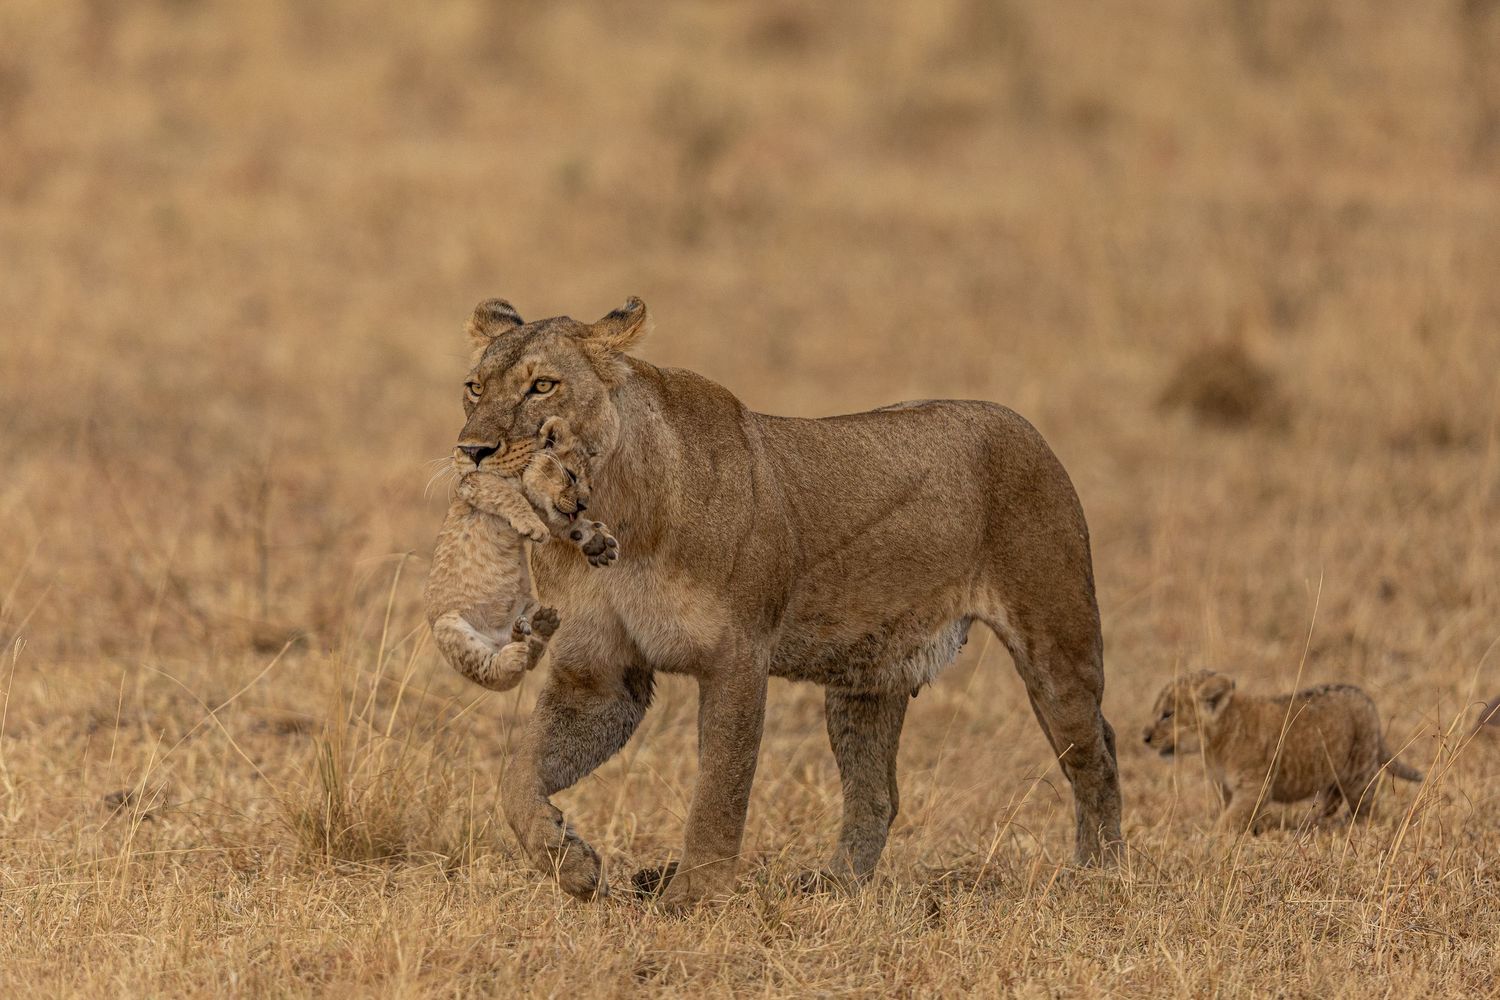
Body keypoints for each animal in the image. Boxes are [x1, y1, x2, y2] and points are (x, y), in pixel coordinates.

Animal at [425, 414, 617, 692]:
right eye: (570, 476)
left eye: (590, 487)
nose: (583, 504)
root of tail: (500, 640)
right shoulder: (475, 481)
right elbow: (508, 495)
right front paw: (533, 527)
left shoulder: (548, 513)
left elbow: (570, 527)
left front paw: (598, 542)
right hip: (448, 627)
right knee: (496, 673)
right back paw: (511, 658)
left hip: (532, 606)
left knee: (529, 659)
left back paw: (540, 629)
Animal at [448, 295, 1121, 907]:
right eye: (474, 388)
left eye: (542, 386)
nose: (472, 450)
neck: (616, 508)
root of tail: (1020, 422)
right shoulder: (599, 674)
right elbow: (517, 778)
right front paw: (571, 863)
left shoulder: (737, 657)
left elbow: (720, 787)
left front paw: (692, 899)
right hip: (867, 678)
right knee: (877, 795)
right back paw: (832, 890)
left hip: (1056, 644)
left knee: (1098, 751)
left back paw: (1099, 877)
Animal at [1142, 670, 1423, 833]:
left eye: (1167, 714)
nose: (1145, 737)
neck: (1214, 745)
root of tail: (1367, 699)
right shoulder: (1225, 787)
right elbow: (1231, 811)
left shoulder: (1255, 787)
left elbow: (1231, 818)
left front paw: (1213, 838)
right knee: (1332, 799)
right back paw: (1313, 822)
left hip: (1358, 768)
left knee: (1364, 802)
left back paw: (1352, 826)